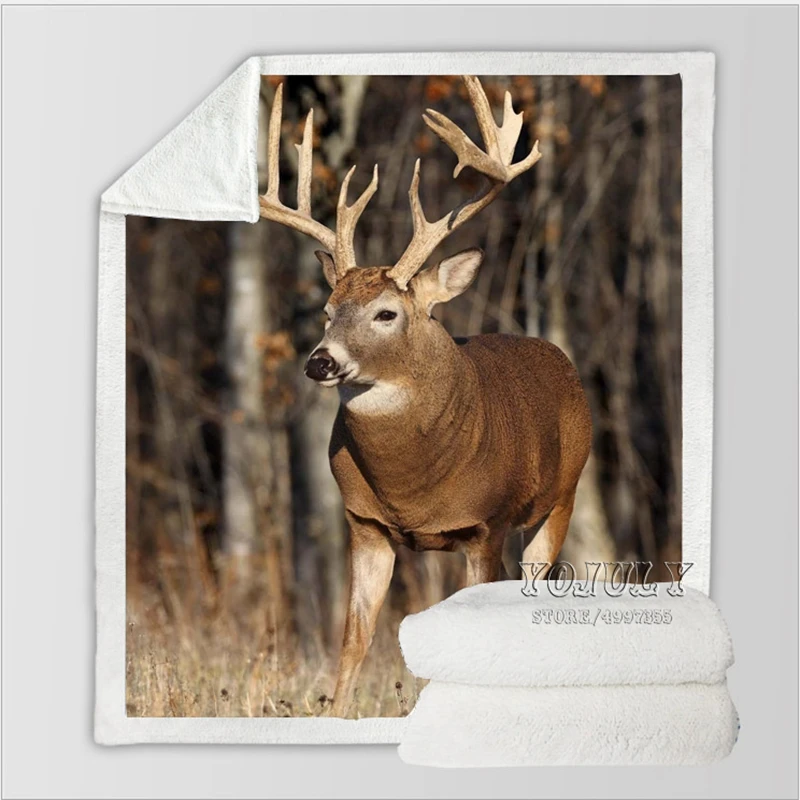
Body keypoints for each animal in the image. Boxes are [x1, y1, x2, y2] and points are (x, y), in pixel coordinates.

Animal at [258, 76, 592, 717]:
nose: (319, 361)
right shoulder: (364, 524)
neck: (410, 487)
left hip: (560, 499)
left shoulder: (486, 526)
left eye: (386, 313)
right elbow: (353, 640)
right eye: (327, 311)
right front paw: (336, 712)